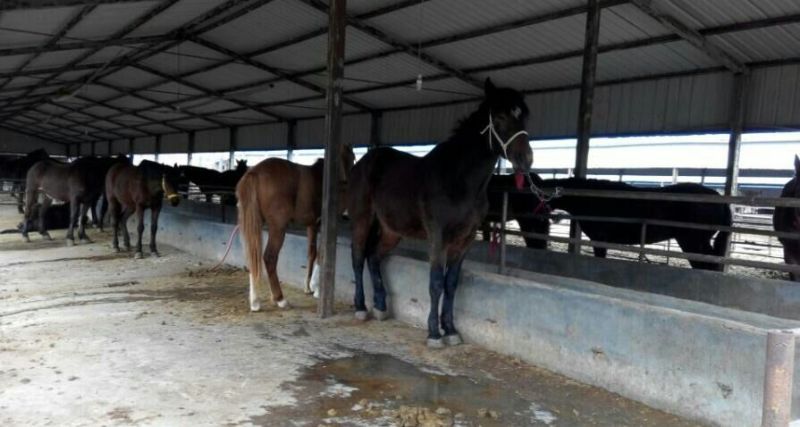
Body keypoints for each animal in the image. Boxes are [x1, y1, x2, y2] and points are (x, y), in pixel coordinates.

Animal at [236, 148, 354, 311]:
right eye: (352, 158)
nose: (347, 181)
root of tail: (254, 173)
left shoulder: (313, 225)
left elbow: (312, 253)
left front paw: (308, 287)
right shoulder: (326, 224)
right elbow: (322, 253)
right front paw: (317, 289)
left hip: (255, 225)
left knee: (254, 256)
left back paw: (255, 302)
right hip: (277, 228)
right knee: (269, 258)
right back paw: (280, 299)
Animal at [348, 78, 533, 348]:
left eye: (524, 117)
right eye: (499, 116)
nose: (525, 159)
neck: (458, 180)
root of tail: (363, 162)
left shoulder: (464, 240)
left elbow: (451, 283)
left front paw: (452, 330)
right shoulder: (439, 237)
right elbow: (435, 283)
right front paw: (434, 334)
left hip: (392, 231)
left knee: (374, 257)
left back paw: (381, 307)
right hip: (363, 219)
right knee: (359, 257)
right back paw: (361, 307)